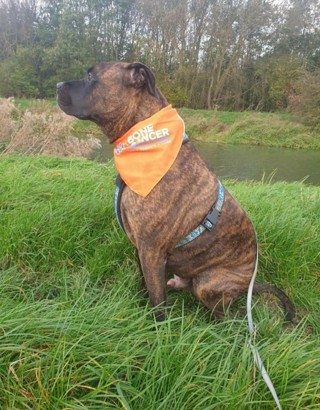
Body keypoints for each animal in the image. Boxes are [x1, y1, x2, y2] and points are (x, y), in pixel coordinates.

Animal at [57, 61, 296, 320]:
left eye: (91, 77)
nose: (57, 85)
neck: (145, 139)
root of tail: (247, 285)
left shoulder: (151, 250)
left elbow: (158, 301)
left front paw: (157, 326)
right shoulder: (141, 249)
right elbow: (146, 285)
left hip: (208, 283)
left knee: (226, 315)